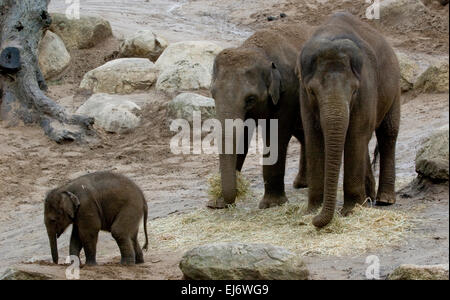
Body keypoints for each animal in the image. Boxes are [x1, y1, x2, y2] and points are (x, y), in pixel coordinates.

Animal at [209, 24, 314, 210]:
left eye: (250, 99)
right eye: (212, 94)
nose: (217, 202)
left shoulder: (289, 92)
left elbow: (277, 135)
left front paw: (271, 205)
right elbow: (242, 137)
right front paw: (217, 204)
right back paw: (302, 184)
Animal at [298, 12, 400, 227]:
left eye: (354, 91)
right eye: (312, 91)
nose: (315, 222)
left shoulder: (366, 86)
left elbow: (355, 134)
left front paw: (351, 211)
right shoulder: (303, 96)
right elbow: (313, 136)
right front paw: (312, 210)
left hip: (394, 86)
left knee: (388, 133)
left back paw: (385, 200)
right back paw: (369, 197)